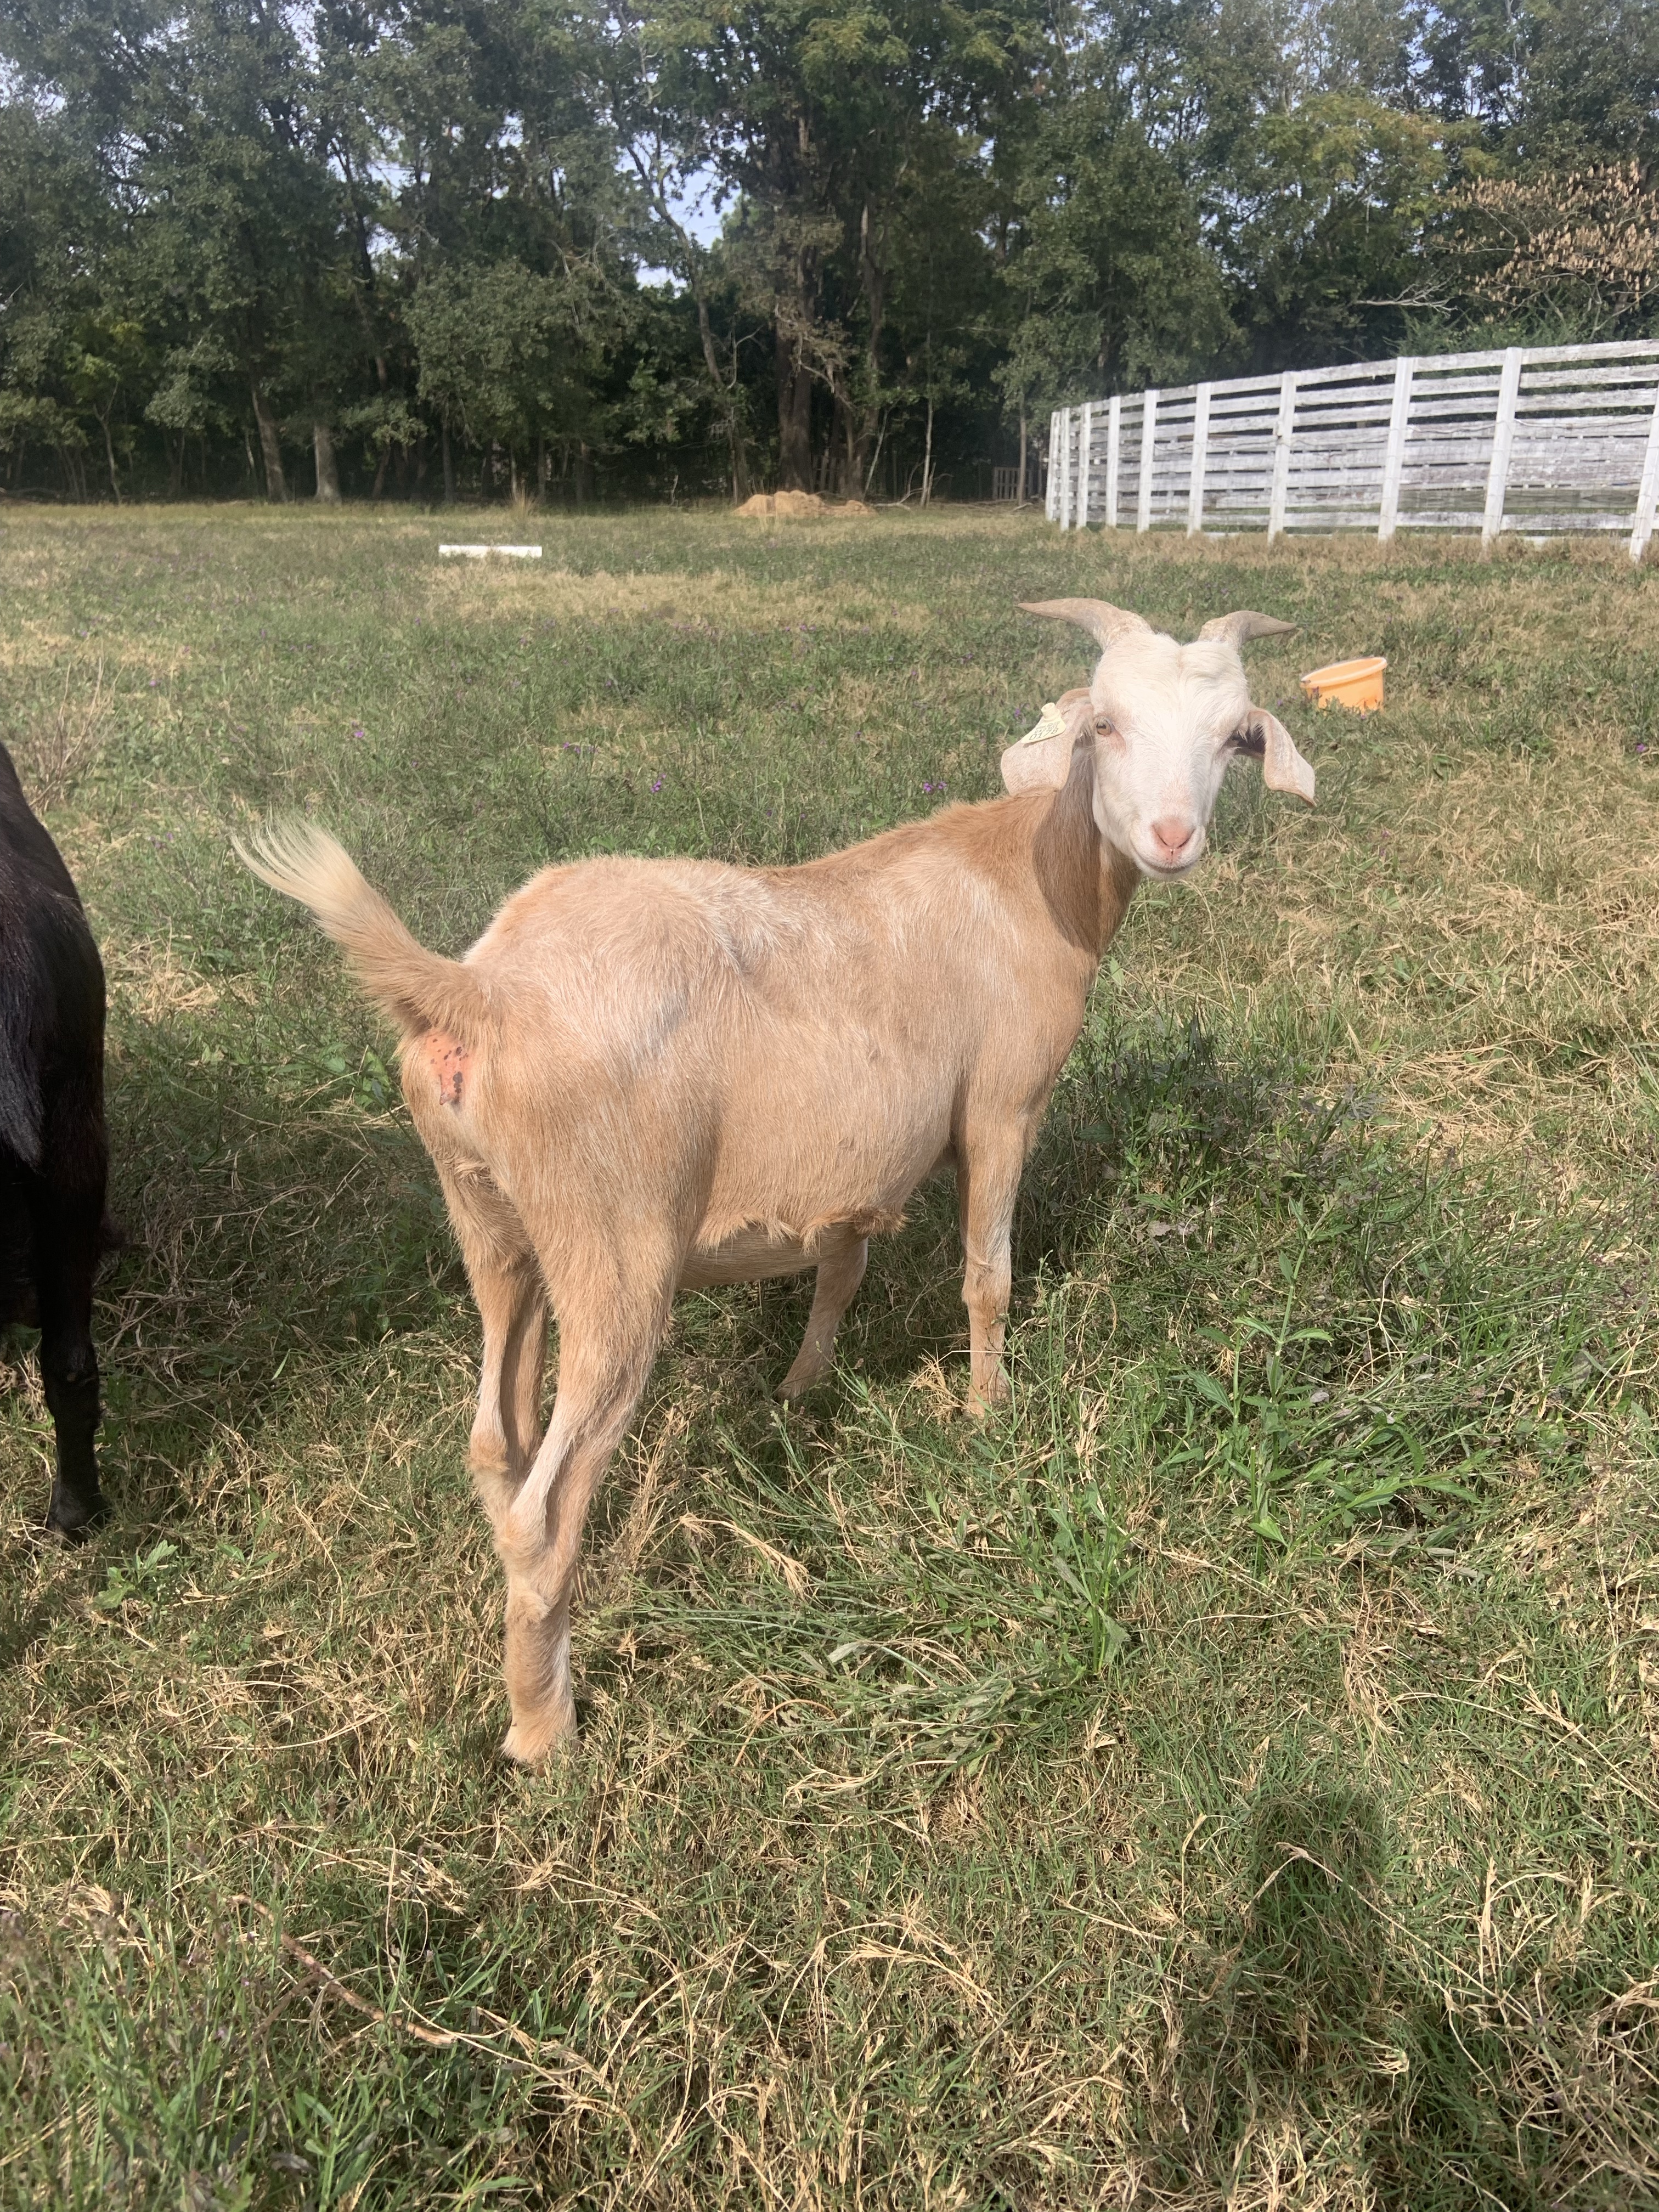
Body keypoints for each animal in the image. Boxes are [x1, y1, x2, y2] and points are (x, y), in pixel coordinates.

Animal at [238, 598, 1313, 1761]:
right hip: (613, 1238)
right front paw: (987, 1415)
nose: (1170, 838)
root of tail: (478, 990)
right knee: (549, 1504)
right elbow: (986, 1276)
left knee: (495, 1444)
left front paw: (803, 1384)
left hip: (490, 1219)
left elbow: (839, 1269)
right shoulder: (1000, 1104)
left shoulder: (859, 1158)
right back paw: (543, 1730)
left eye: (1232, 739)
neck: (1028, 873)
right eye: (1104, 725)